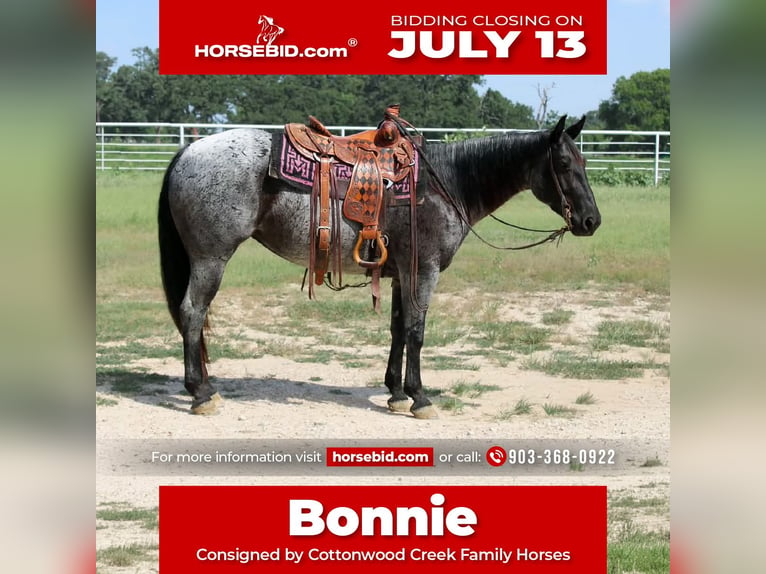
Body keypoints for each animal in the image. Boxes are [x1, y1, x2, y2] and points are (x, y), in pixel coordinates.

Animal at [157, 115, 601, 418]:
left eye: (583, 161)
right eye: (564, 164)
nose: (591, 221)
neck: (447, 184)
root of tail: (188, 151)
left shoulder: (402, 274)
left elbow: (398, 330)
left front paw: (396, 393)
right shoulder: (424, 272)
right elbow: (417, 332)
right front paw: (420, 397)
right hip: (210, 258)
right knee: (192, 313)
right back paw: (200, 393)